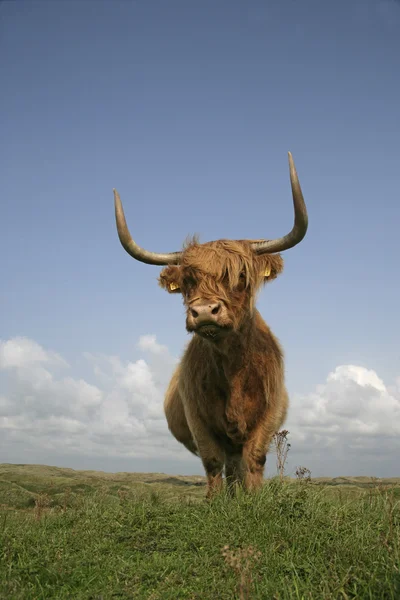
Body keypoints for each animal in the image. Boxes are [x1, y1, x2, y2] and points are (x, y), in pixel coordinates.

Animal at [113, 154, 310, 496]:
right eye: (188, 281)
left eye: (240, 276)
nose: (205, 311)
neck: (232, 367)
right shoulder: (198, 419)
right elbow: (212, 461)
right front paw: (215, 502)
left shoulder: (269, 414)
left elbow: (255, 458)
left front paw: (254, 500)